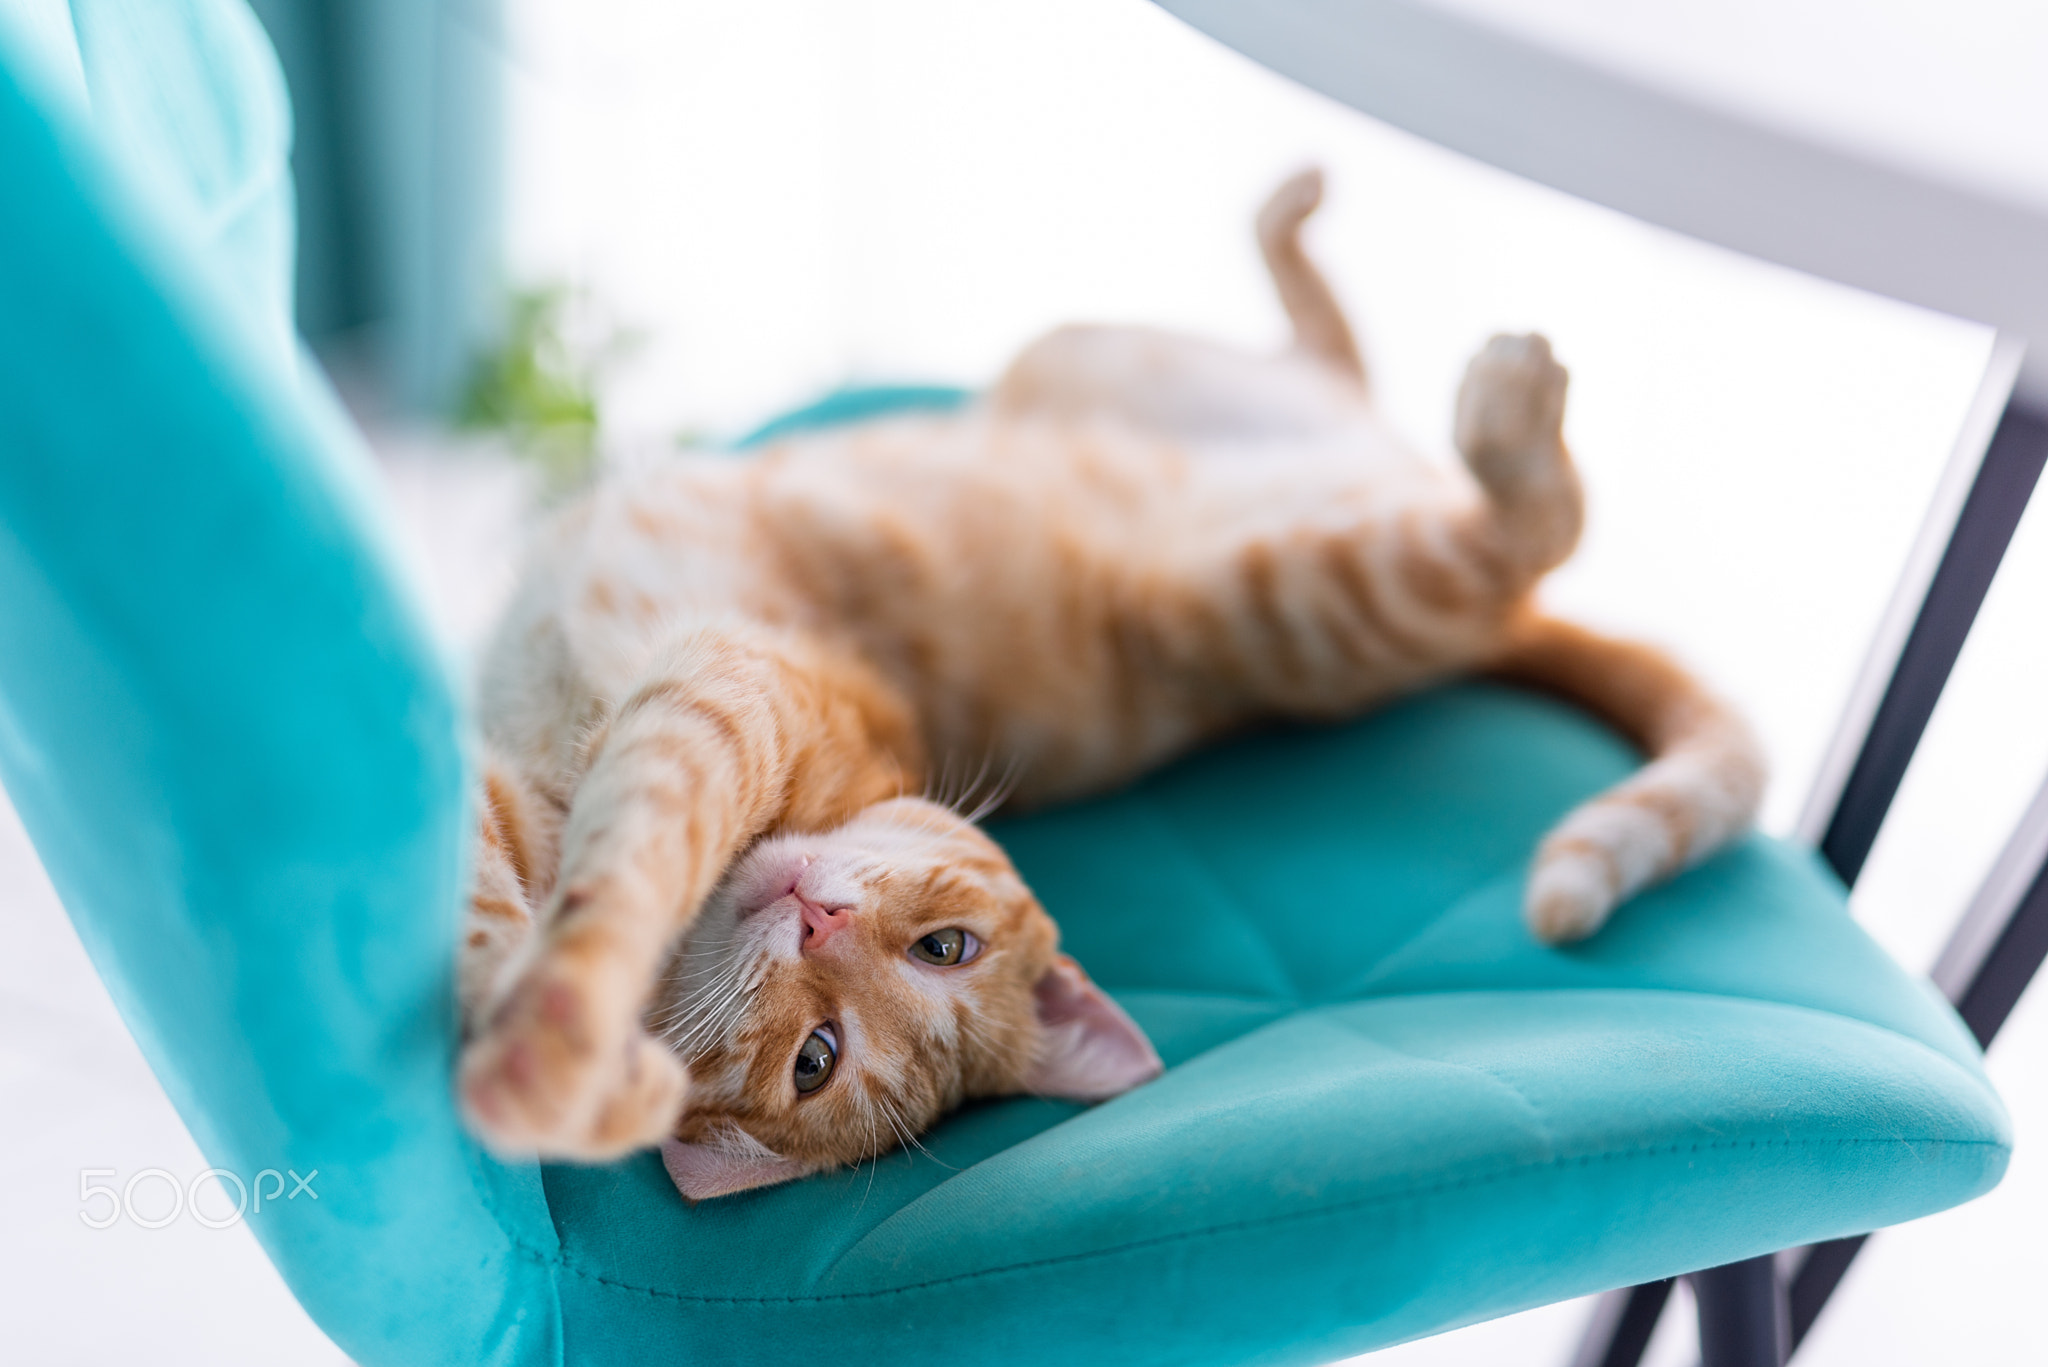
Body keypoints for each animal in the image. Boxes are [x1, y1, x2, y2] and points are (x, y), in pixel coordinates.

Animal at [456, 171, 1769, 1196]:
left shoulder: (708, 705)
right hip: (1094, 357)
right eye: (945, 947)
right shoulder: (544, 777)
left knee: (1525, 530)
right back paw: (1300, 225)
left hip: (1290, 596)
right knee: (1336, 357)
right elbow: (484, 898)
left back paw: (1506, 408)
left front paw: (552, 1051)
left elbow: (620, 872)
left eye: (819, 1055)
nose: (815, 919)